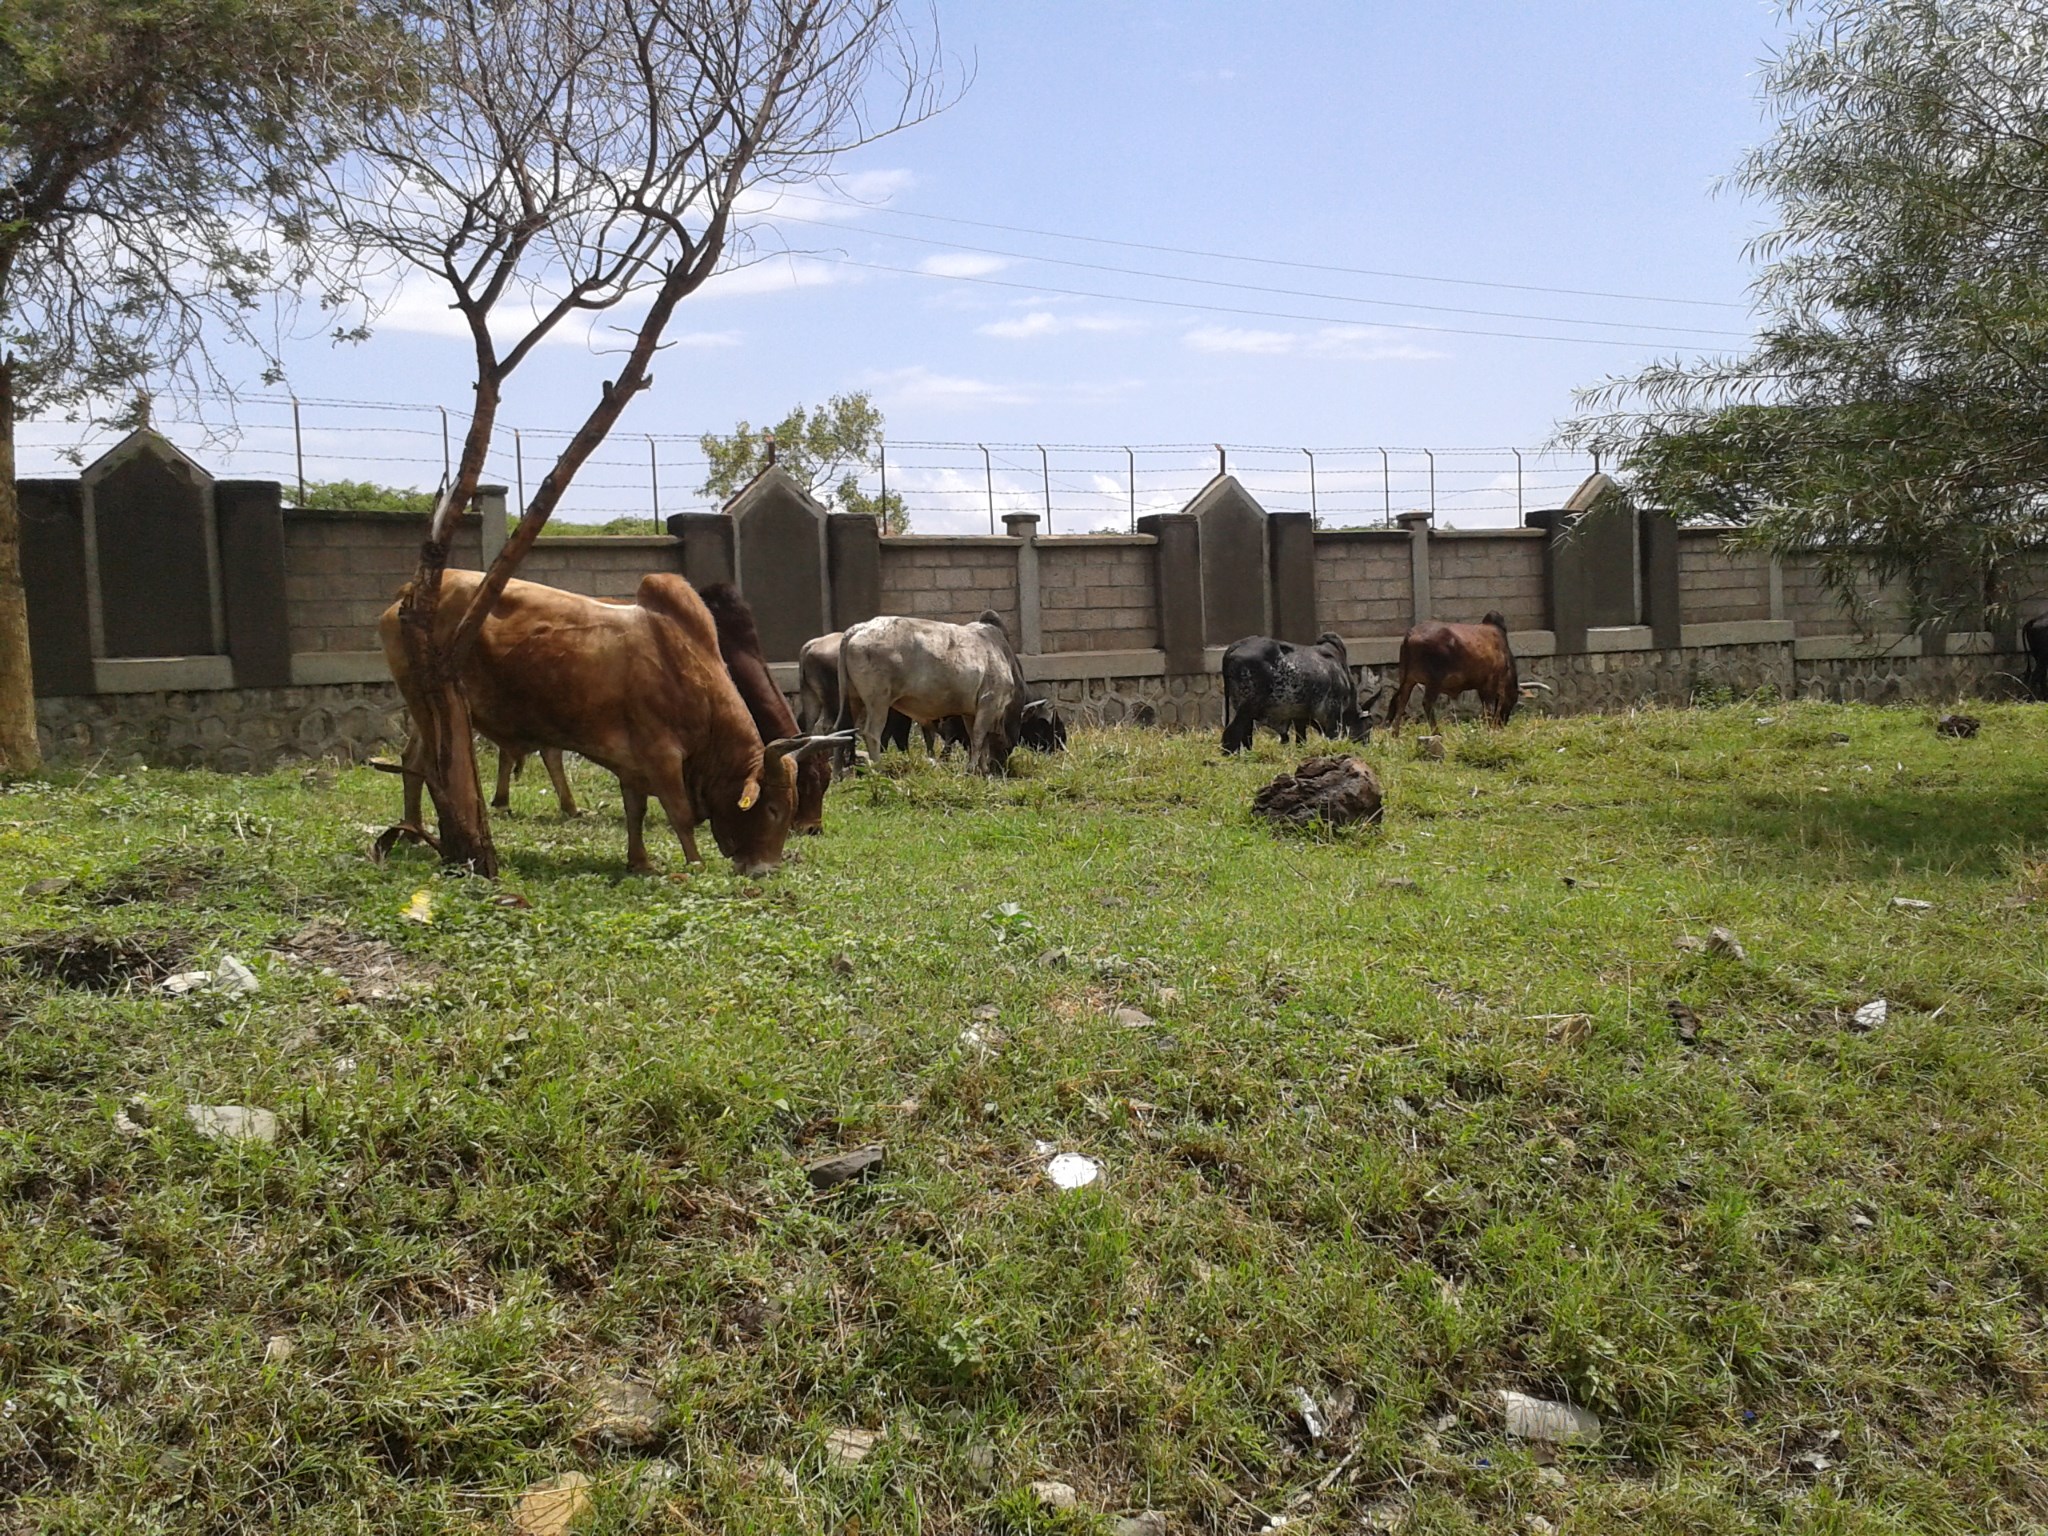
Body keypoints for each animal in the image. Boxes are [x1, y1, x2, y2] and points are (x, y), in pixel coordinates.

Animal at [380, 569, 835, 876]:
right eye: (774, 808)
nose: (766, 871)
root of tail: (407, 595)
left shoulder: (633, 763)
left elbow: (635, 811)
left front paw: (640, 862)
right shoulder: (661, 755)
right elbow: (680, 815)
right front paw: (695, 863)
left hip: (429, 711)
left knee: (412, 761)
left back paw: (411, 831)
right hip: (430, 704)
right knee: (426, 766)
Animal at [835, 610, 1032, 774]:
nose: (1001, 768)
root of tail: (859, 628)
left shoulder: (971, 711)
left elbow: (978, 740)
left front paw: (982, 770)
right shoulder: (990, 702)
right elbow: (978, 738)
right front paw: (972, 770)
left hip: (854, 698)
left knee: (843, 730)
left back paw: (839, 775)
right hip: (878, 701)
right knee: (871, 733)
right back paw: (878, 770)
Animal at [1220, 634, 1368, 753]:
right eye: (1369, 725)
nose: (1366, 744)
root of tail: (1237, 645)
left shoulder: (1299, 715)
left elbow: (1300, 739)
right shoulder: (1333, 710)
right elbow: (1332, 736)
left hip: (1245, 711)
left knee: (1246, 735)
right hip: (1247, 706)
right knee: (1232, 733)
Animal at [1384, 610, 1531, 737]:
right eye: (1513, 699)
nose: (1502, 724)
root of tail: (1411, 634)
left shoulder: (1482, 686)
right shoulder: (1490, 683)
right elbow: (1488, 709)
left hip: (1407, 678)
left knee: (1401, 701)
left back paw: (1395, 734)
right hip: (1433, 681)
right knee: (1427, 703)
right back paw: (1436, 733)